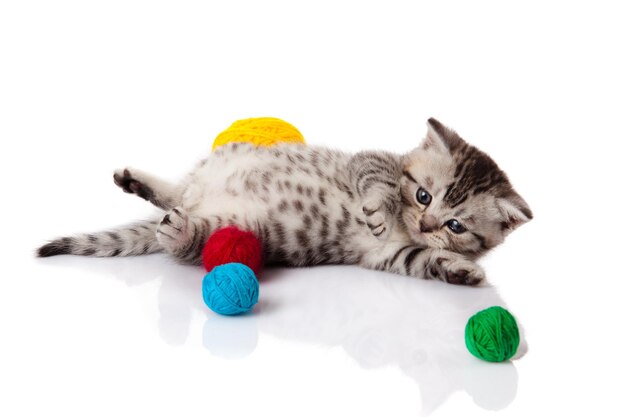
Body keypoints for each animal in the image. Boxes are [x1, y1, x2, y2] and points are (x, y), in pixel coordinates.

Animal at [37, 118, 532, 284]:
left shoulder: (386, 255)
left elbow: (422, 259)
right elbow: (376, 181)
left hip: (239, 229)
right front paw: (378, 206)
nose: (428, 225)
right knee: (176, 193)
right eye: (422, 195)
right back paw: (133, 180)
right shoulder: (370, 160)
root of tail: (197, 203)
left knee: (183, 230)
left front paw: (464, 271)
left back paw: (178, 228)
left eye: (455, 226)